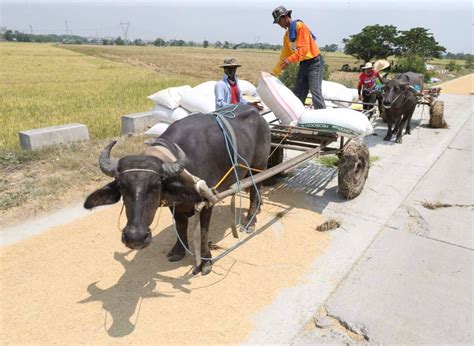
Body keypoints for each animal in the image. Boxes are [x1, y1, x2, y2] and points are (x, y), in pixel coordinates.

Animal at [84, 105, 270, 276]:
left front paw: (206, 261)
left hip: (258, 166)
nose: (135, 237)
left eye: (156, 185)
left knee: (255, 191)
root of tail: (258, 114)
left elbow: (203, 233)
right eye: (122, 186)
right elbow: (180, 225)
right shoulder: (175, 204)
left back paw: (250, 221)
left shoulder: (207, 203)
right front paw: (179, 250)